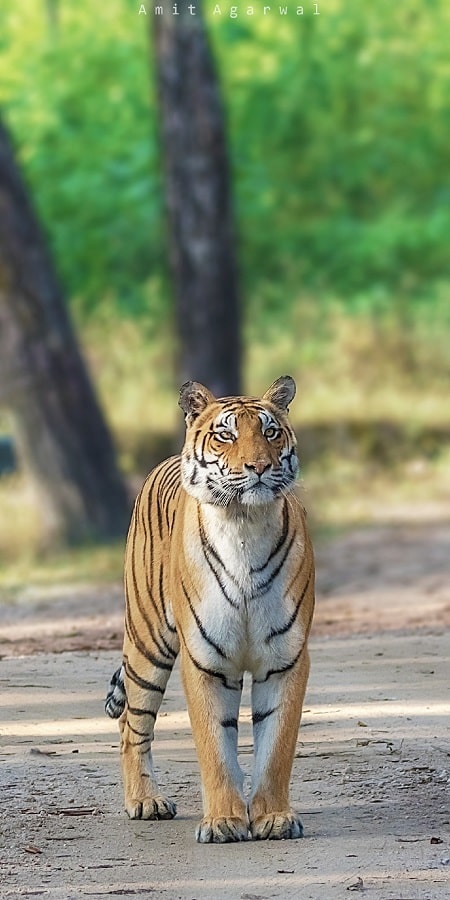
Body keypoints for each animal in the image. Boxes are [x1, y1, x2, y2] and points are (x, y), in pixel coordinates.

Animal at [105, 372, 316, 844]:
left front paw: (273, 818)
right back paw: (145, 801)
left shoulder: (285, 659)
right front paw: (222, 822)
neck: (245, 525)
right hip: (147, 643)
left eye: (270, 432)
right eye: (226, 435)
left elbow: (276, 745)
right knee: (131, 724)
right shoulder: (205, 661)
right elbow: (215, 747)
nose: (259, 467)